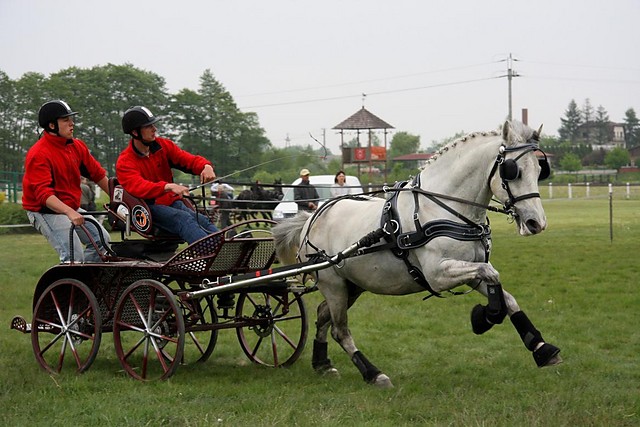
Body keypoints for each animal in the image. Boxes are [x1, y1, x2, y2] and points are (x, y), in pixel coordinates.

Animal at [274, 119, 560, 388]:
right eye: (513, 171)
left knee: (323, 316)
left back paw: (322, 363)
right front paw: (486, 317)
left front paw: (540, 346)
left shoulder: (469, 270)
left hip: (351, 285)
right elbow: (492, 276)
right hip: (333, 285)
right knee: (339, 329)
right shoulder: (438, 274)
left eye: (540, 170)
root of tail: (312, 217)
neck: (443, 208)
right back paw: (373, 373)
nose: (537, 223)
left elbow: (505, 294)